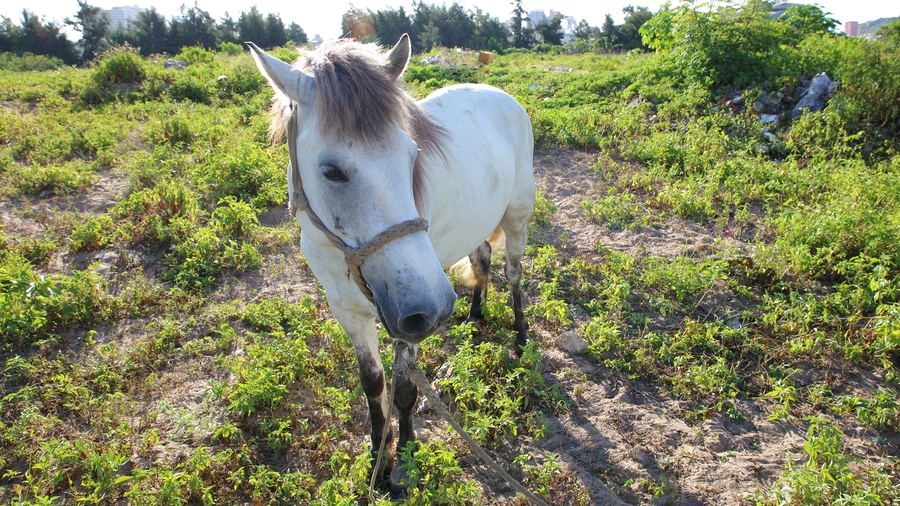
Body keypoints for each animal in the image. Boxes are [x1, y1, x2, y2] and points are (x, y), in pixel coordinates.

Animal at [248, 33, 536, 492]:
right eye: (331, 171)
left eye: (412, 154)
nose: (437, 309)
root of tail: (498, 92)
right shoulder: (348, 310)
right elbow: (373, 383)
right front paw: (376, 460)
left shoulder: (411, 315)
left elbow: (404, 391)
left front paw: (404, 461)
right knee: (482, 262)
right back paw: (474, 319)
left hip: (516, 216)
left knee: (512, 272)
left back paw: (521, 337)